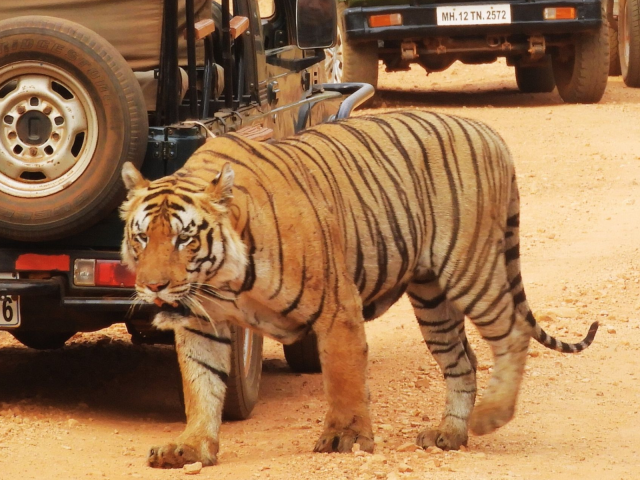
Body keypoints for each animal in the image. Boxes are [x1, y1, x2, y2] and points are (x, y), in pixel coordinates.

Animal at [120, 110, 598, 468]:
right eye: (141, 237)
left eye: (184, 239)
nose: (153, 285)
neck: (223, 283)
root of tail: (490, 133)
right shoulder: (202, 322)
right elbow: (200, 384)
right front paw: (190, 447)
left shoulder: (336, 306)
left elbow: (343, 376)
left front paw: (345, 439)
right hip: (433, 298)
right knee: (464, 359)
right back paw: (450, 432)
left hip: (469, 269)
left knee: (512, 331)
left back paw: (491, 417)